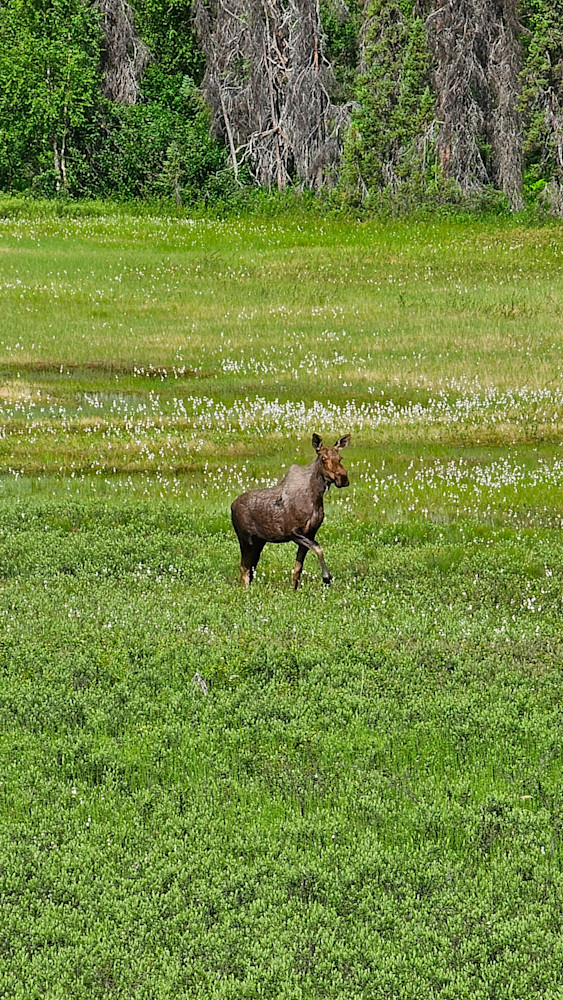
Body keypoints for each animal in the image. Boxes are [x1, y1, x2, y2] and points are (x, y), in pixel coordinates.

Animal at [231, 433, 350, 588]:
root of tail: (231, 506)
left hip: (259, 541)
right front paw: (326, 577)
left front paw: (294, 589)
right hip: (246, 539)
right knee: (244, 568)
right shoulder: (293, 532)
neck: (316, 498)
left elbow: (298, 568)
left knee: (250, 568)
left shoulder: (310, 533)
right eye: (323, 458)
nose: (343, 477)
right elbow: (318, 549)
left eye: (340, 458)